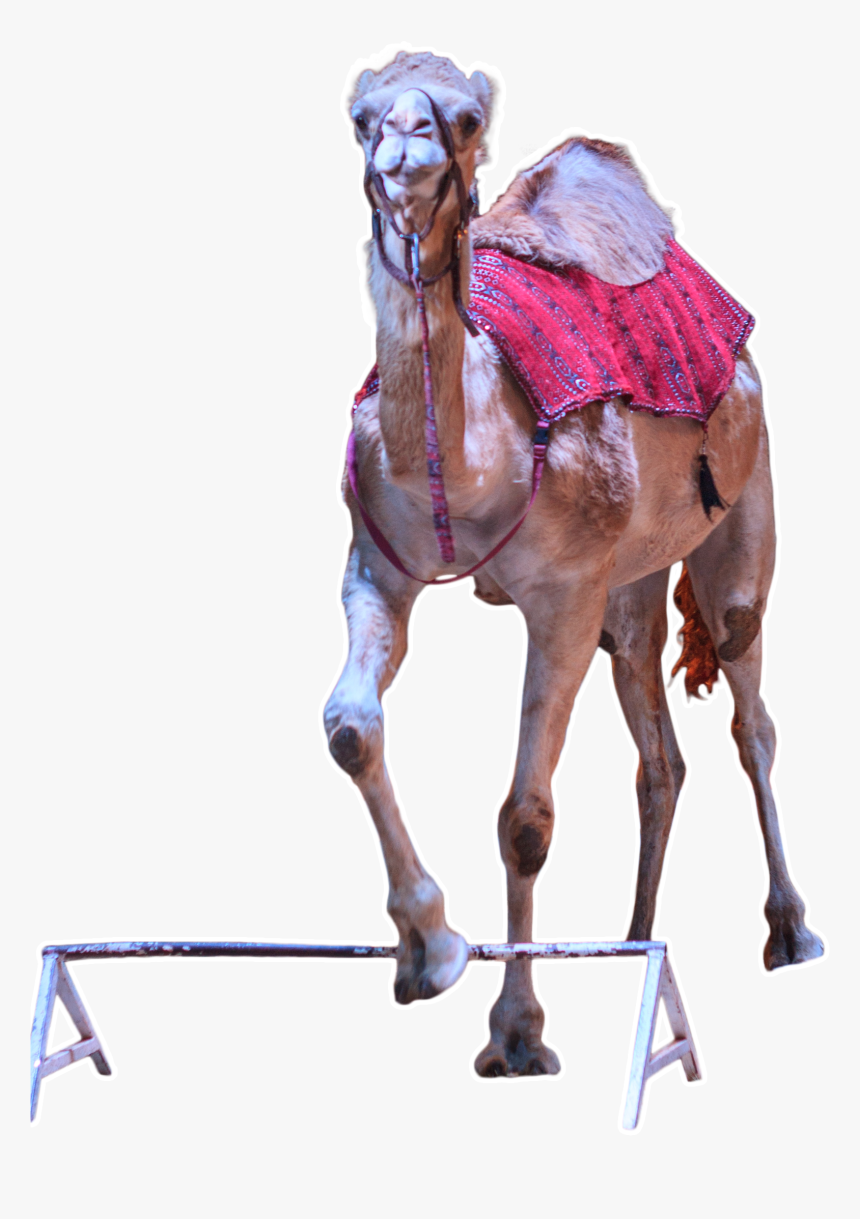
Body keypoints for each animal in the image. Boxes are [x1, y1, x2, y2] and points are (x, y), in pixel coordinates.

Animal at [324, 50, 823, 1077]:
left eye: (466, 117)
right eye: (359, 117)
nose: (405, 147)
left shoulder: (560, 596)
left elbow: (525, 816)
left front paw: (516, 1034)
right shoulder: (377, 568)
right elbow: (351, 727)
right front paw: (427, 948)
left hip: (741, 507)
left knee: (749, 707)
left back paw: (791, 932)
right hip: (629, 584)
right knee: (659, 749)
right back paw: (633, 938)